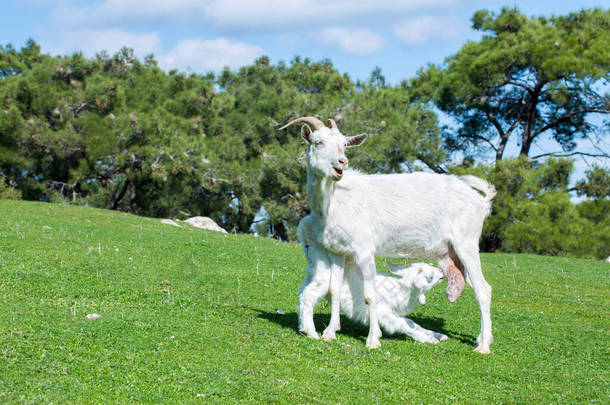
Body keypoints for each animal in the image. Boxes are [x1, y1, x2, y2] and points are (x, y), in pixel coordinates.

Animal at [296, 213, 448, 342]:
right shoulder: (383, 312)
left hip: (313, 268)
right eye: (430, 276)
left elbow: (411, 322)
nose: (442, 271)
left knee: (303, 292)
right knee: (309, 295)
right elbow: (403, 324)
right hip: (323, 269)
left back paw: (303, 328)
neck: (401, 291)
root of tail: (305, 225)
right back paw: (312, 333)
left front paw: (438, 335)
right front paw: (429, 339)